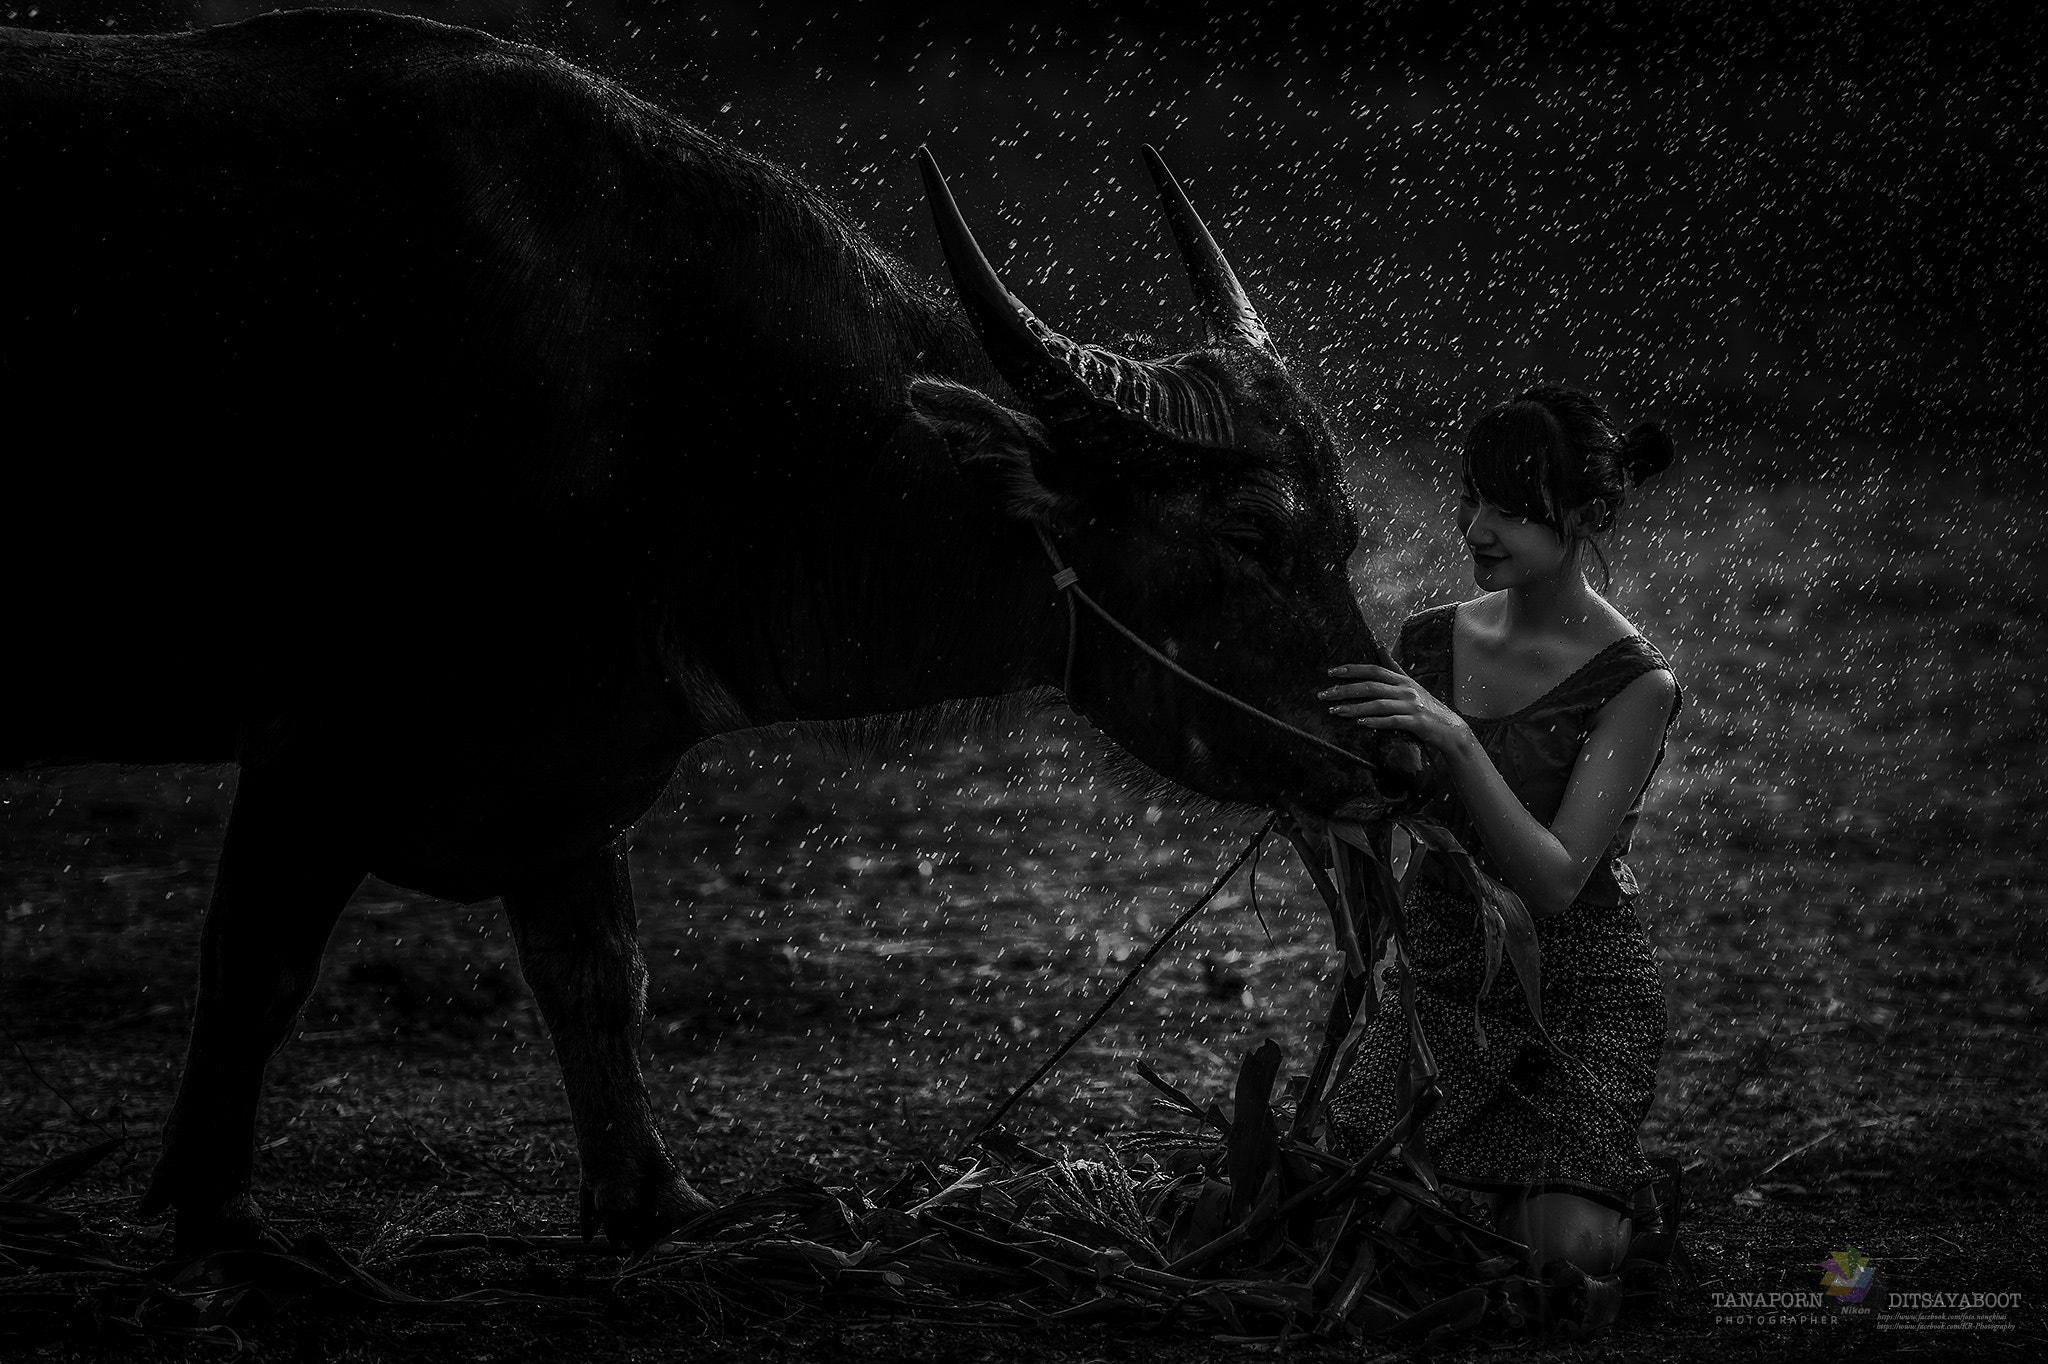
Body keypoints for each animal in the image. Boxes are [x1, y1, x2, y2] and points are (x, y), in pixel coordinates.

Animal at [4, 10, 1425, 1245]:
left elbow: (597, 975)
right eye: (1247, 535)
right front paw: (216, 1211)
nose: (1396, 758)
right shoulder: (310, 739)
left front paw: (654, 1198)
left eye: (1345, 529)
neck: (690, 413)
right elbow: (255, 970)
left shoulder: (572, 746)